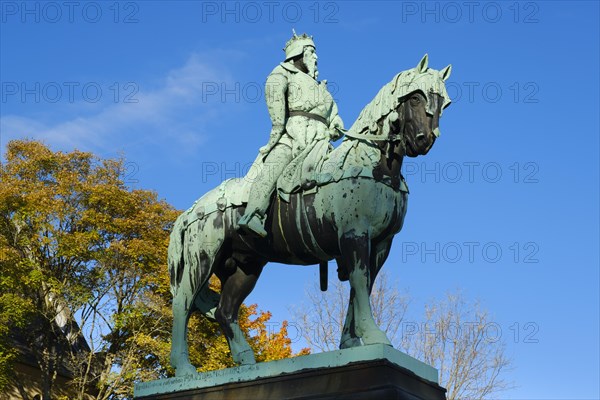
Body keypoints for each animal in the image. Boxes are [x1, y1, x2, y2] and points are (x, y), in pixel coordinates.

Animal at [166, 54, 452, 376]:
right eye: (415, 97)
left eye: (444, 102)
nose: (424, 140)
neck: (373, 166)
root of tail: (192, 209)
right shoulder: (354, 236)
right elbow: (360, 281)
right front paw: (373, 335)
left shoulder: (380, 245)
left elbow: (361, 288)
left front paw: (351, 341)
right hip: (201, 261)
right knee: (183, 304)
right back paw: (184, 367)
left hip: (246, 266)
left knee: (226, 311)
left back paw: (245, 359)